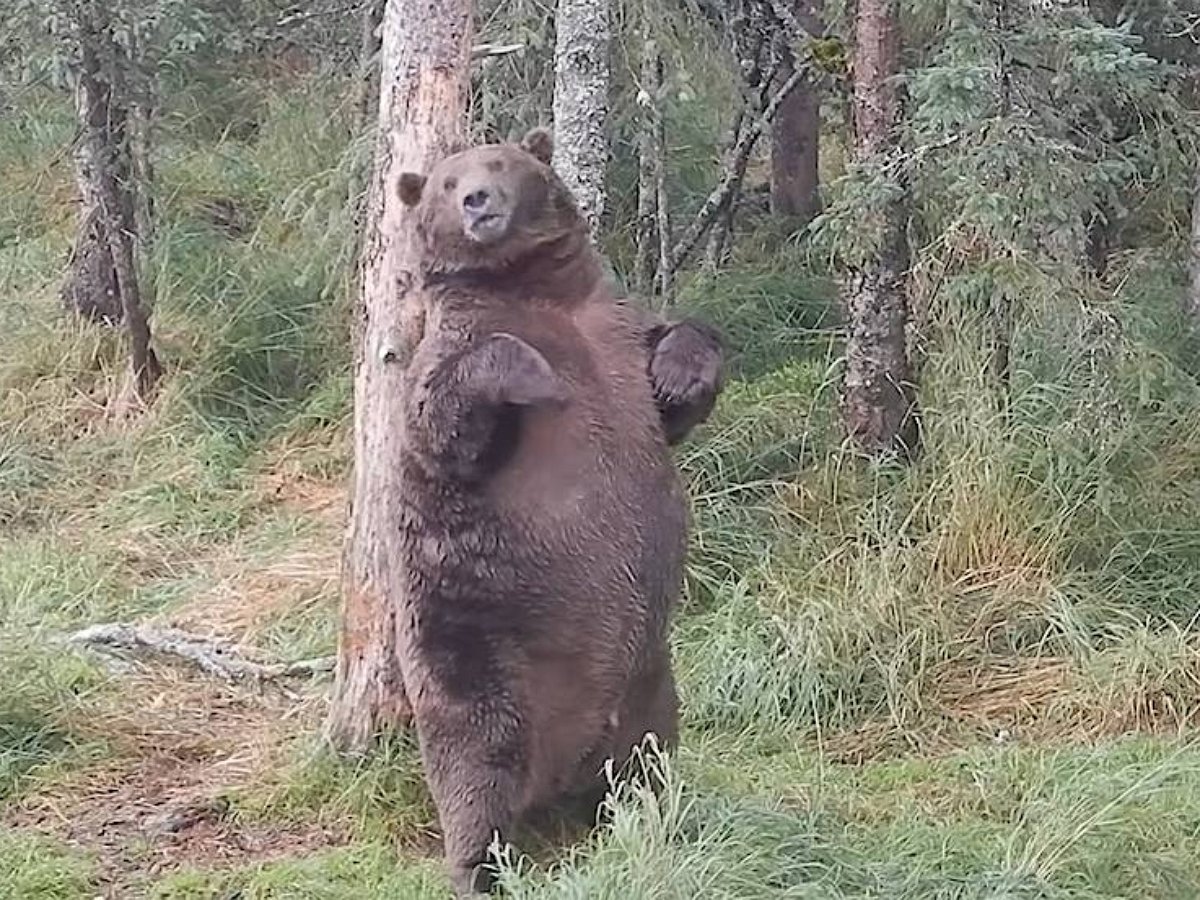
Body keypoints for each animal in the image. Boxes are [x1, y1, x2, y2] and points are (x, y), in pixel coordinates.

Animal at [391, 127, 723, 896]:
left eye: (501, 162)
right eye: (447, 182)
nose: (479, 199)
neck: (530, 285)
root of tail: (558, 781)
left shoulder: (614, 330)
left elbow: (677, 353)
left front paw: (682, 372)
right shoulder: (448, 363)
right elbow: (442, 417)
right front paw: (537, 375)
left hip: (650, 684)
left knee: (650, 757)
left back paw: (651, 816)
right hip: (478, 664)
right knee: (475, 776)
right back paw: (481, 866)